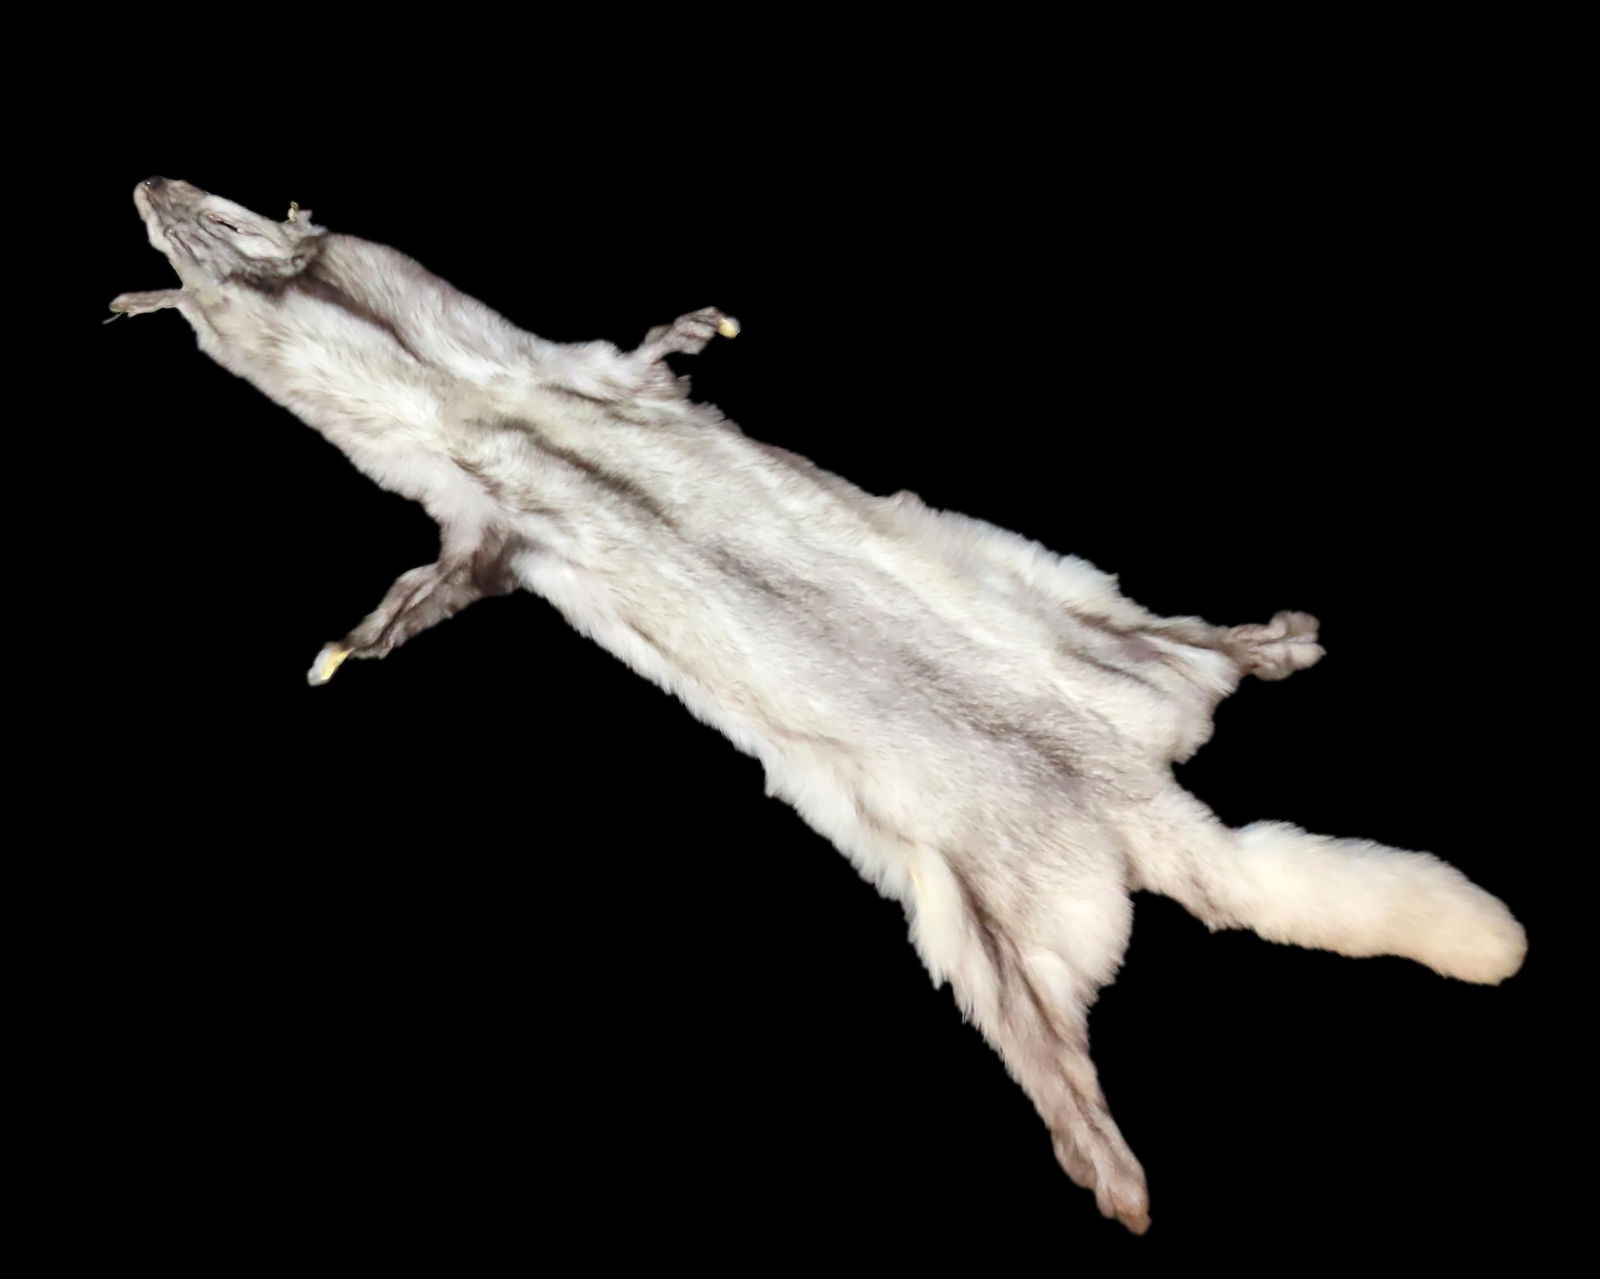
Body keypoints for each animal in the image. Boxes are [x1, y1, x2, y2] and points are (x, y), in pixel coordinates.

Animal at [111, 176, 1527, 1233]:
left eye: (237, 222)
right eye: (201, 257)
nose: (149, 186)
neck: (478, 404)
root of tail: (1131, 811)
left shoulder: (563, 412)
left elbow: (623, 381)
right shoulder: (501, 509)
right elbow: (439, 582)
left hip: (981, 879)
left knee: (1043, 1033)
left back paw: (1106, 1163)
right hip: (1076, 689)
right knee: (1183, 674)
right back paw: (1275, 649)